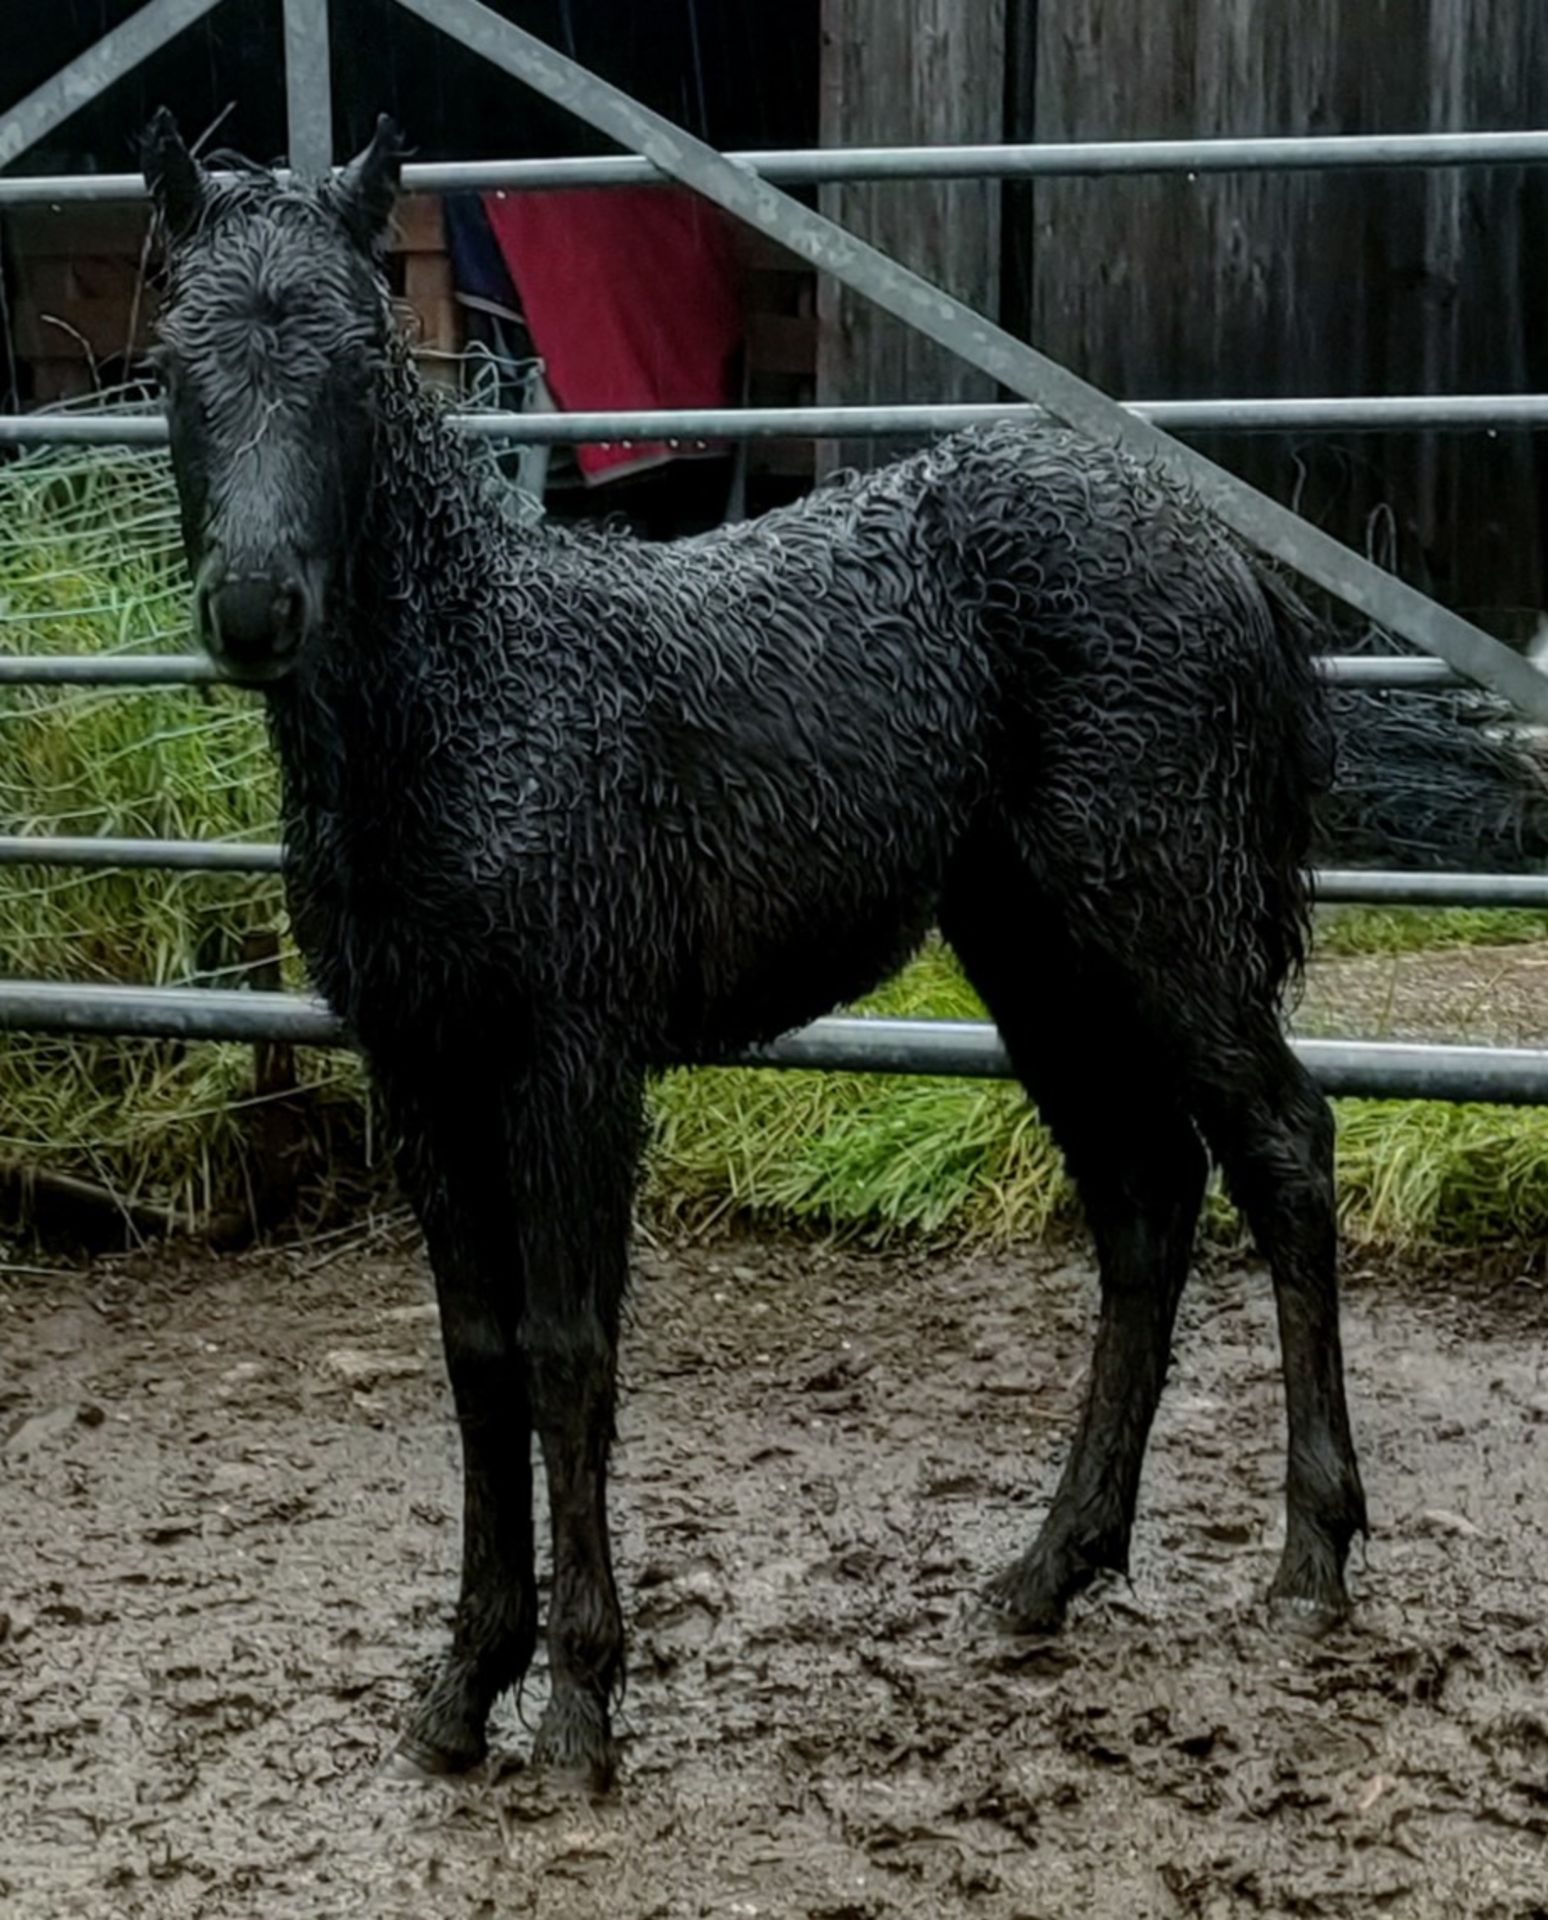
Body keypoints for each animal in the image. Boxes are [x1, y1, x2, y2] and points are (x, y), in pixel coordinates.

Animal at [145, 108, 1367, 1781]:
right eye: (176, 367)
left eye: (353, 358)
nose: (259, 605)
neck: (478, 705)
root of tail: (1215, 543)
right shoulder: (420, 1067)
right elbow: (475, 1356)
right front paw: (463, 1686)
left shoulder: (571, 1062)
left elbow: (568, 1349)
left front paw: (581, 1704)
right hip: (1036, 954)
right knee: (1146, 1202)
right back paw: (1050, 1568)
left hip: (1160, 916)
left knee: (1283, 1144)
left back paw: (1311, 1561)